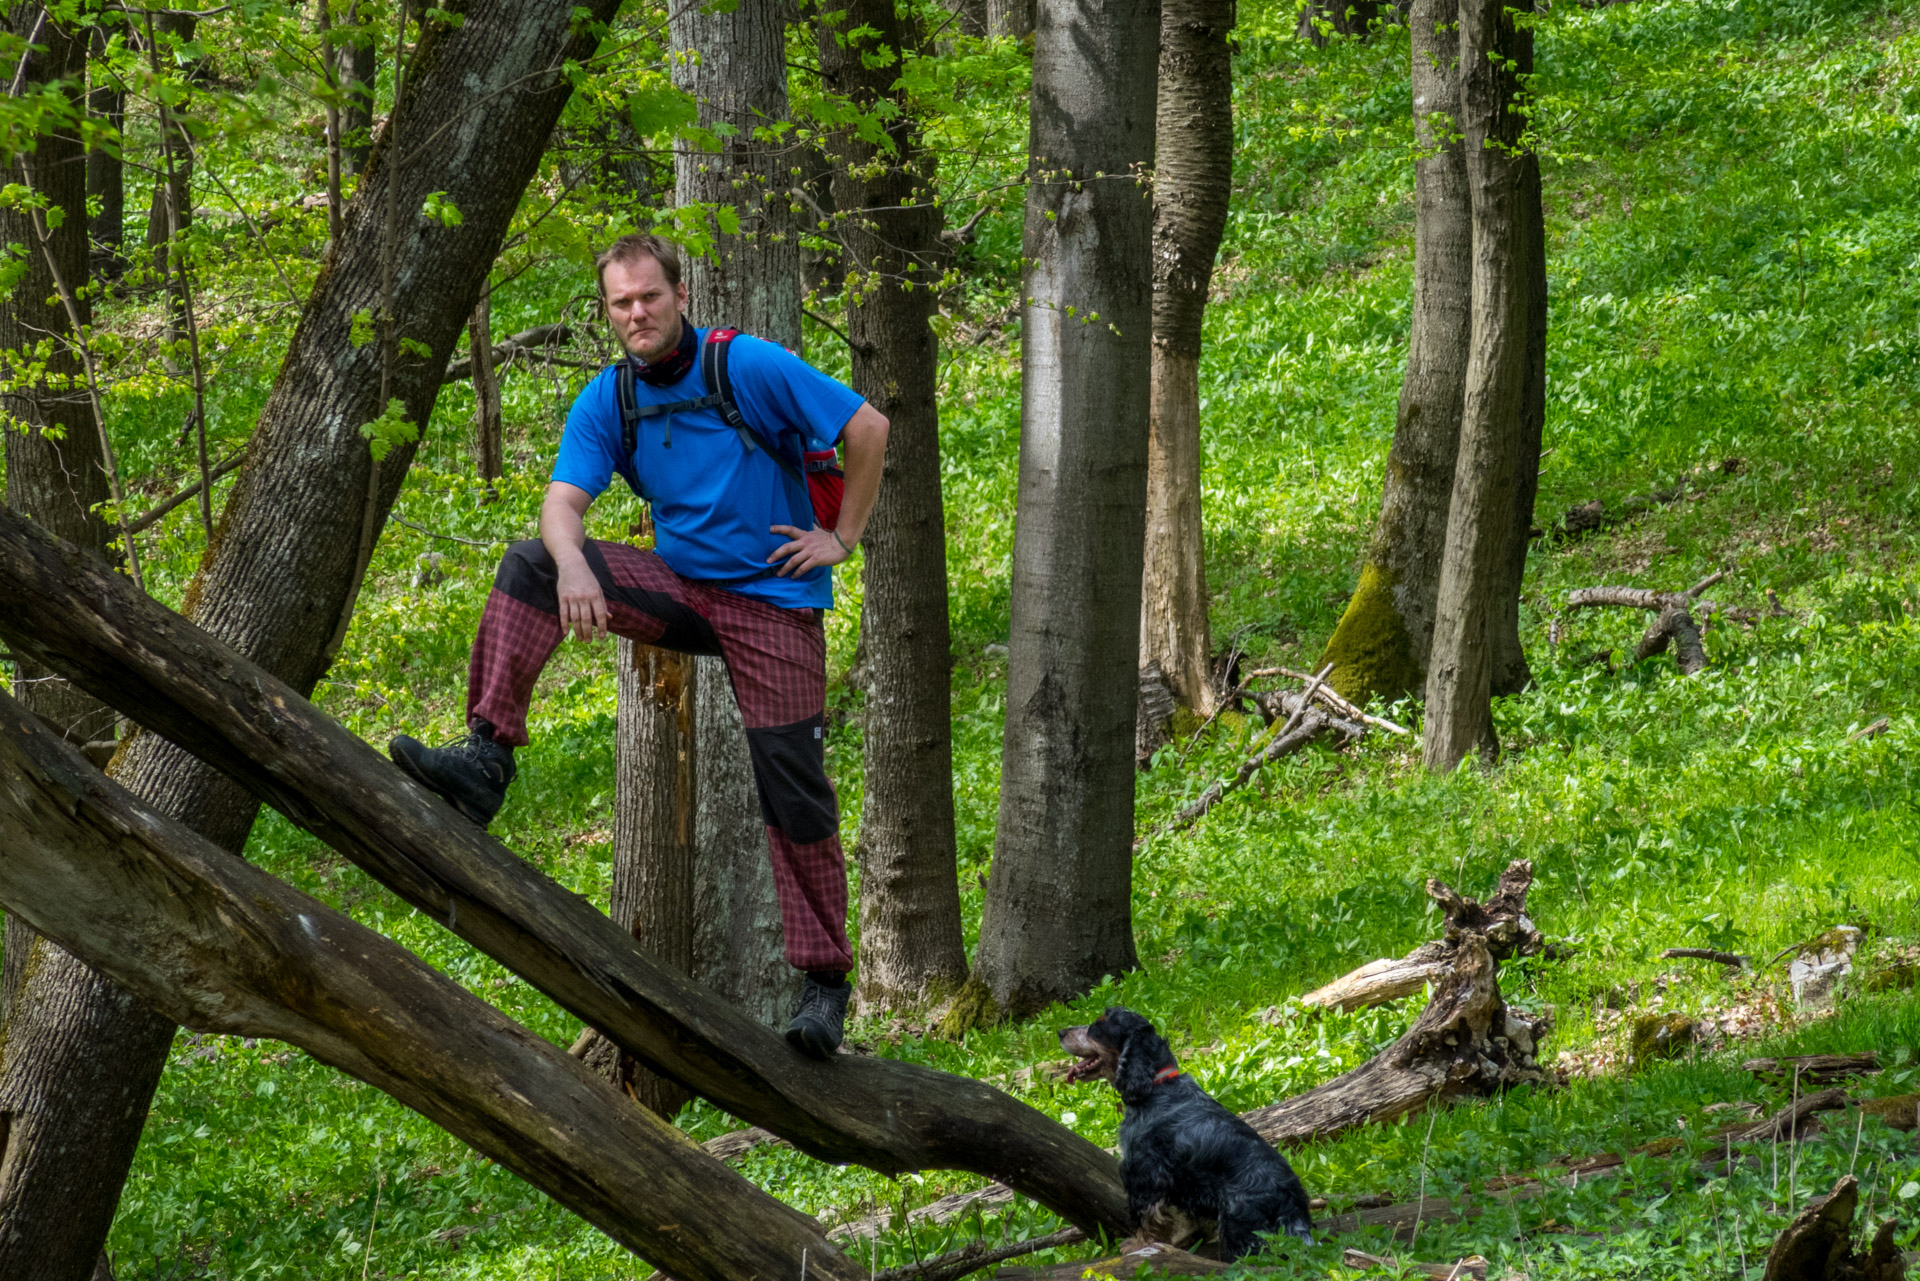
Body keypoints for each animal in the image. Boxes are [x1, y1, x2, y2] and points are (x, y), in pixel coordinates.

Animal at [1059, 1006, 1313, 1259]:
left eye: (1096, 1026)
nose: (1060, 1032)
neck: (1156, 1085)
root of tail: (1293, 1205)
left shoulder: (1145, 1173)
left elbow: (1146, 1218)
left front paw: (1138, 1246)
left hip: (1236, 1219)